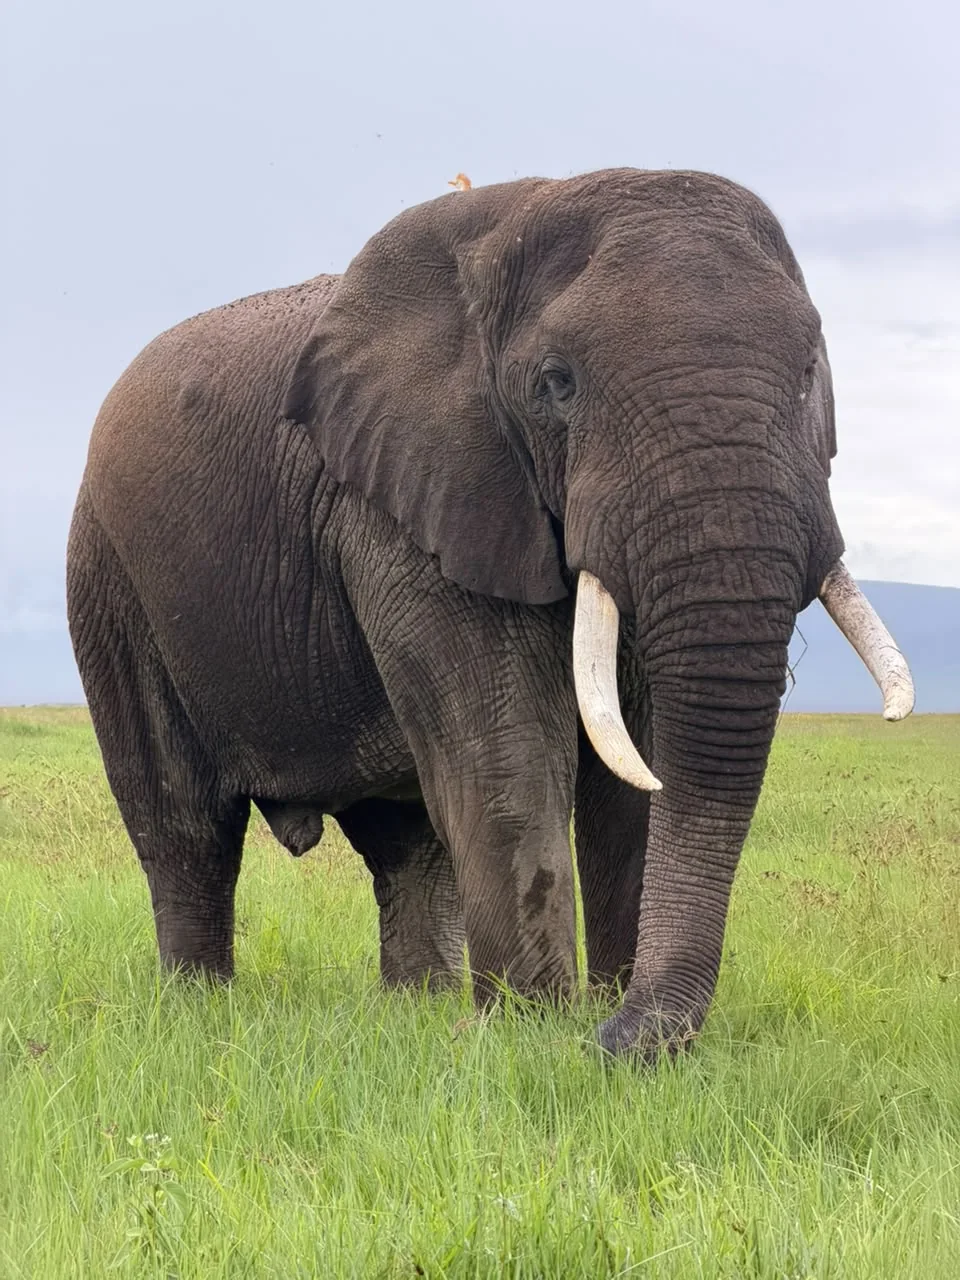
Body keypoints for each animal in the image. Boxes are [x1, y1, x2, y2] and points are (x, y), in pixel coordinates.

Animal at [66, 168, 913, 1060]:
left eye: (810, 372)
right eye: (557, 383)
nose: (614, 1039)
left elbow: (637, 759)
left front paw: (587, 1016)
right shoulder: (410, 500)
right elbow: (511, 748)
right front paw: (533, 1034)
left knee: (404, 841)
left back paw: (417, 1007)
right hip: (110, 575)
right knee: (184, 825)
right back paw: (199, 1010)